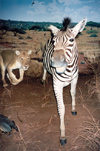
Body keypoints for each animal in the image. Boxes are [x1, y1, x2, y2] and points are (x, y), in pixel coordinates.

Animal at [42, 17, 86, 145]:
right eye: (54, 41)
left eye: (72, 40)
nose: (56, 63)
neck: (69, 69)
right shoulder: (57, 85)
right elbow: (61, 108)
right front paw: (62, 135)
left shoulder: (75, 79)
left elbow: (73, 93)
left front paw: (73, 109)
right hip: (44, 58)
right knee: (44, 67)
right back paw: (43, 79)